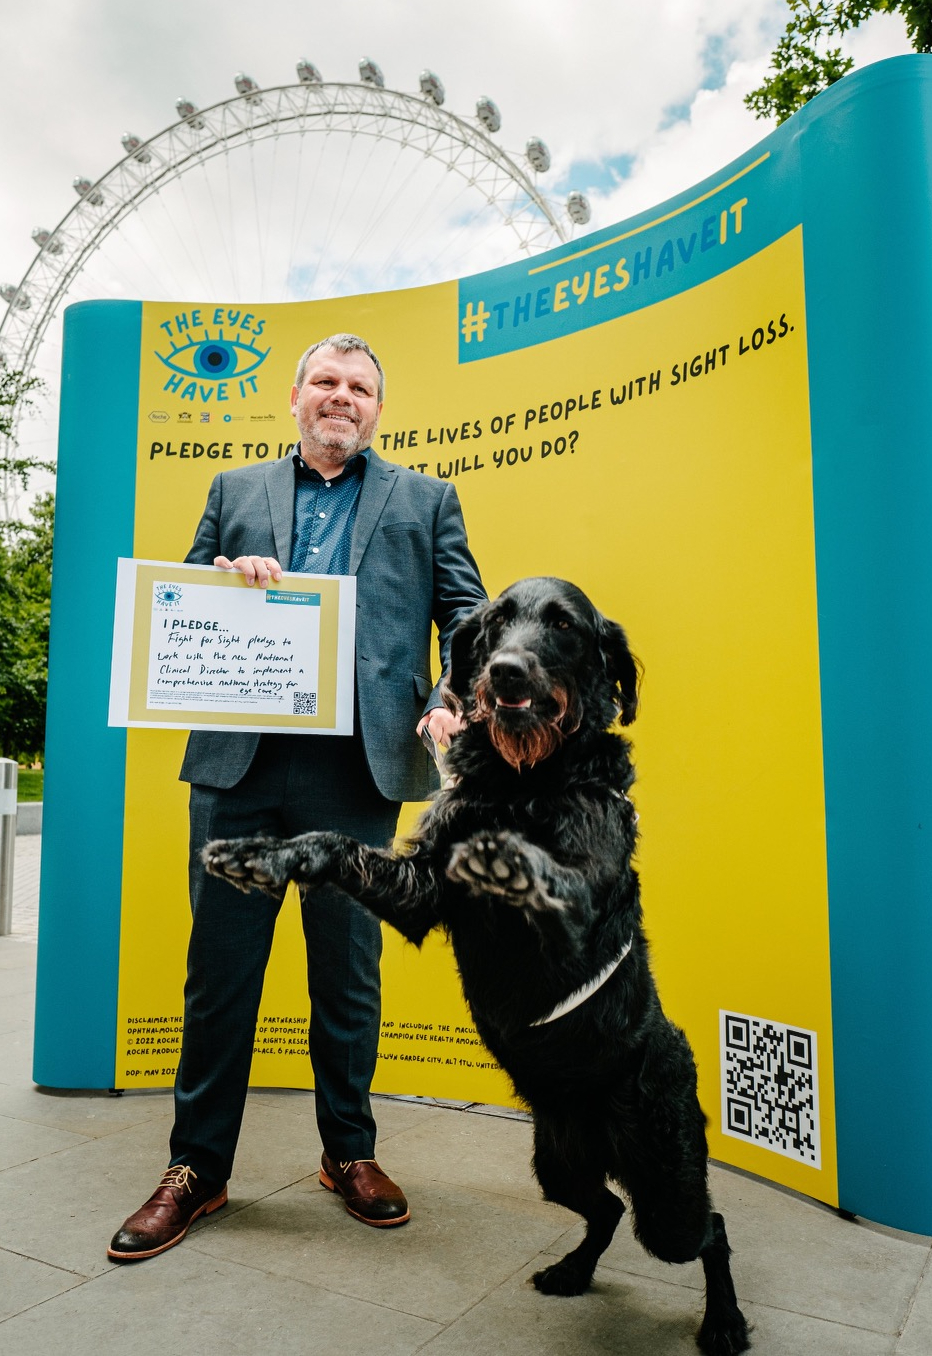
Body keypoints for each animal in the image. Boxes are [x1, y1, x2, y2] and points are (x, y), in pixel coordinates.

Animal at [202, 577, 748, 1350]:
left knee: (710, 1229)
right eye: (495, 623)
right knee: (607, 1210)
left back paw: (724, 1321)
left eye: (564, 627)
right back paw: (573, 1271)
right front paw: (262, 853)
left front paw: (509, 859)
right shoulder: (417, 890)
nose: (507, 673)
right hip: (559, 1162)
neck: (524, 778)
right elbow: (332, 843)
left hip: (666, 1182)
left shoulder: (577, 916)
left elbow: (557, 881)